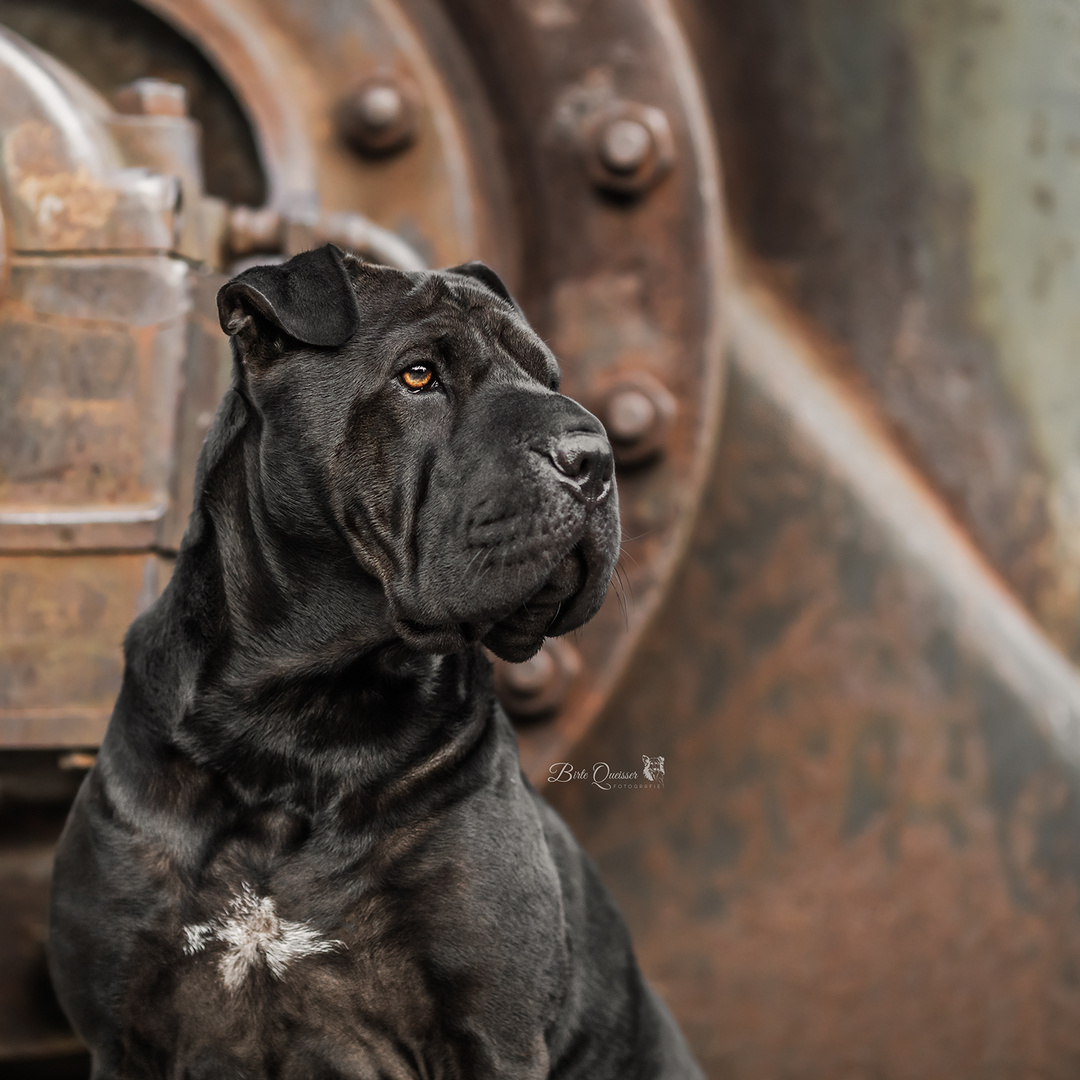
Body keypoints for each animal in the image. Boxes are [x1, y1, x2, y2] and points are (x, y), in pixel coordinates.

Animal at [48, 247, 699, 1080]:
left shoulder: (490, 1034)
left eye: (546, 377)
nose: (593, 458)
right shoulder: (125, 1033)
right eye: (418, 375)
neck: (297, 721)